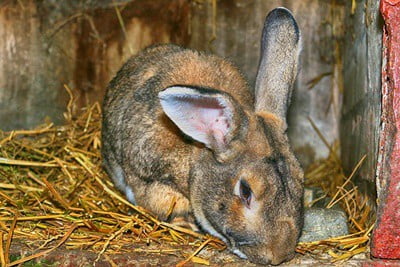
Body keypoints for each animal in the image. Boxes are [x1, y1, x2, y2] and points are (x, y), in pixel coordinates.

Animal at [101, 7, 304, 266]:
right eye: (245, 191)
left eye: (300, 178)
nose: (278, 255)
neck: (196, 151)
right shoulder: (151, 180)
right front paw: (185, 224)